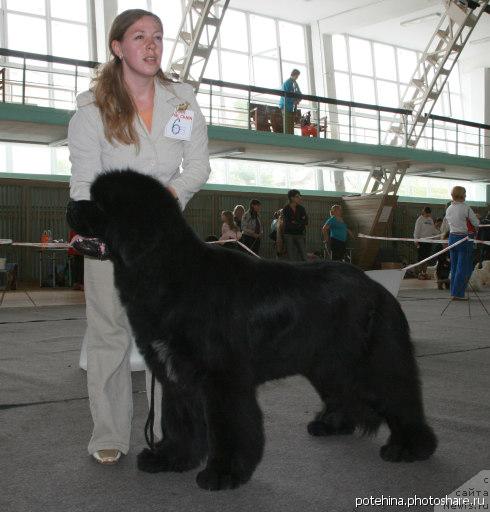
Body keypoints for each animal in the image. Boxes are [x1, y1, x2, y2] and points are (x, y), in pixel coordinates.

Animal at [67, 170, 438, 490]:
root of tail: (377, 288)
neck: (167, 271)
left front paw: (223, 474)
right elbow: (178, 421)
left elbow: (229, 428)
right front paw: (171, 458)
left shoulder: (222, 377)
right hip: (328, 363)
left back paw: (410, 447)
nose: (71, 204)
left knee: (399, 396)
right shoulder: (176, 375)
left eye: (100, 204)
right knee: (346, 393)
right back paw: (332, 425)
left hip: (372, 360)